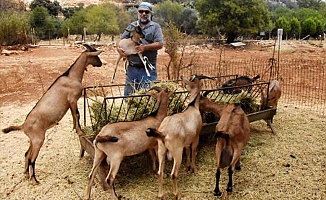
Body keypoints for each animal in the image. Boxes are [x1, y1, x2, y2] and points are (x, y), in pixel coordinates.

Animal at [1, 44, 102, 184]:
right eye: (96, 56)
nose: (101, 64)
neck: (71, 76)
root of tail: (23, 126)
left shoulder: (71, 102)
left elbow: (74, 116)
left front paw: (76, 129)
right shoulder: (72, 100)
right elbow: (77, 115)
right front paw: (80, 131)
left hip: (32, 140)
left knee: (26, 154)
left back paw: (26, 175)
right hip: (38, 140)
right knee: (32, 158)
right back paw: (35, 180)